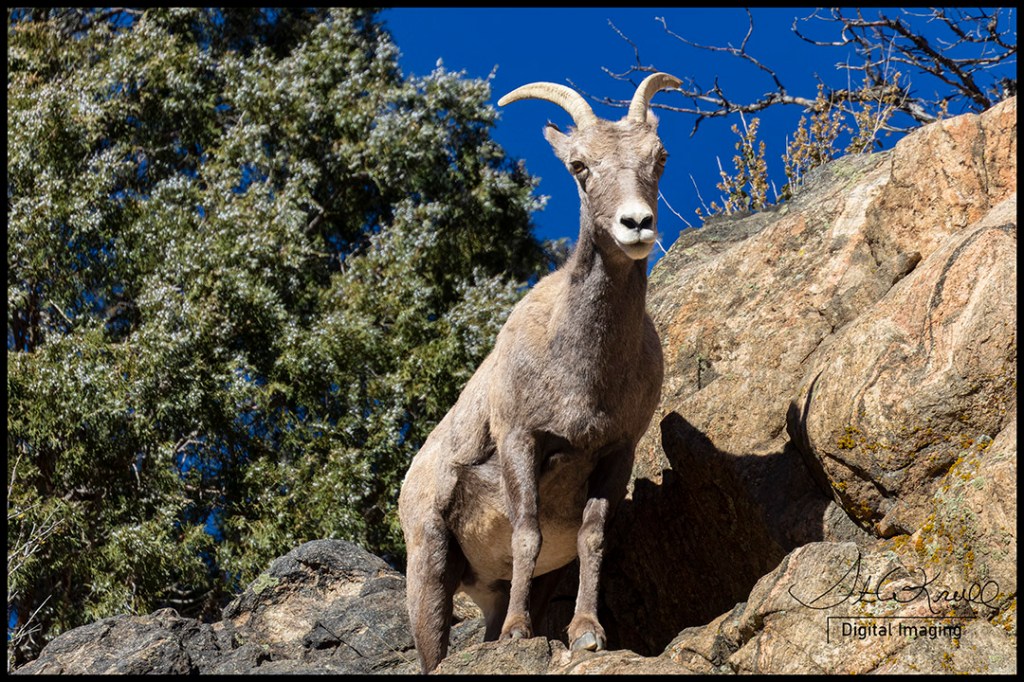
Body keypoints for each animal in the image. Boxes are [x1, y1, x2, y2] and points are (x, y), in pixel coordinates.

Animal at [398, 72, 679, 673]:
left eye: (659, 156)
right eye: (579, 165)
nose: (636, 224)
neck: (582, 374)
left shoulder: (616, 450)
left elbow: (593, 538)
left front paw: (587, 634)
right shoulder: (521, 442)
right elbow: (526, 534)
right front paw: (519, 634)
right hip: (428, 572)